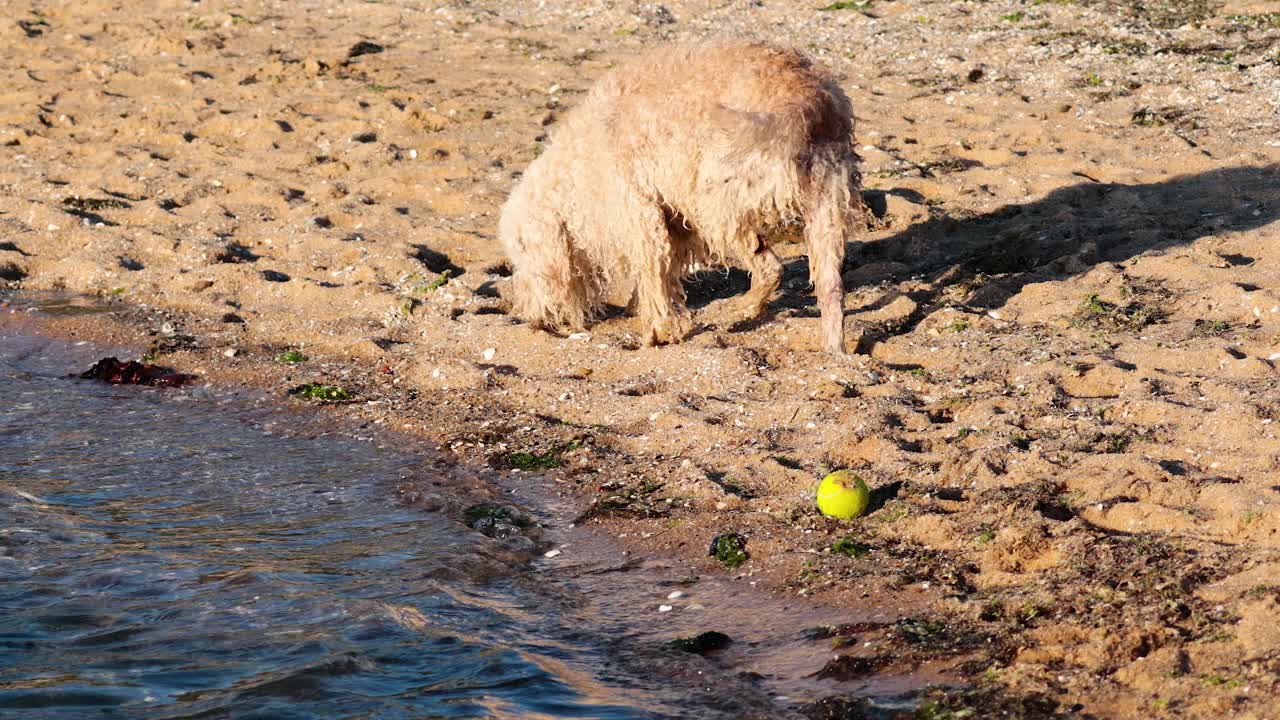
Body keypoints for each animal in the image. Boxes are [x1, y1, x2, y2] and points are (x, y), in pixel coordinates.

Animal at [494, 40, 865, 351]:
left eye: (520, 257)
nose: (523, 315)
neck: (574, 174)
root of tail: (807, 103)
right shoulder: (672, 220)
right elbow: (662, 275)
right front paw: (638, 309)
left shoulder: (641, 216)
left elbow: (652, 278)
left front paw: (655, 334)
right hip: (827, 208)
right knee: (830, 288)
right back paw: (836, 355)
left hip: (715, 204)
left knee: (770, 269)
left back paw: (736, 312)